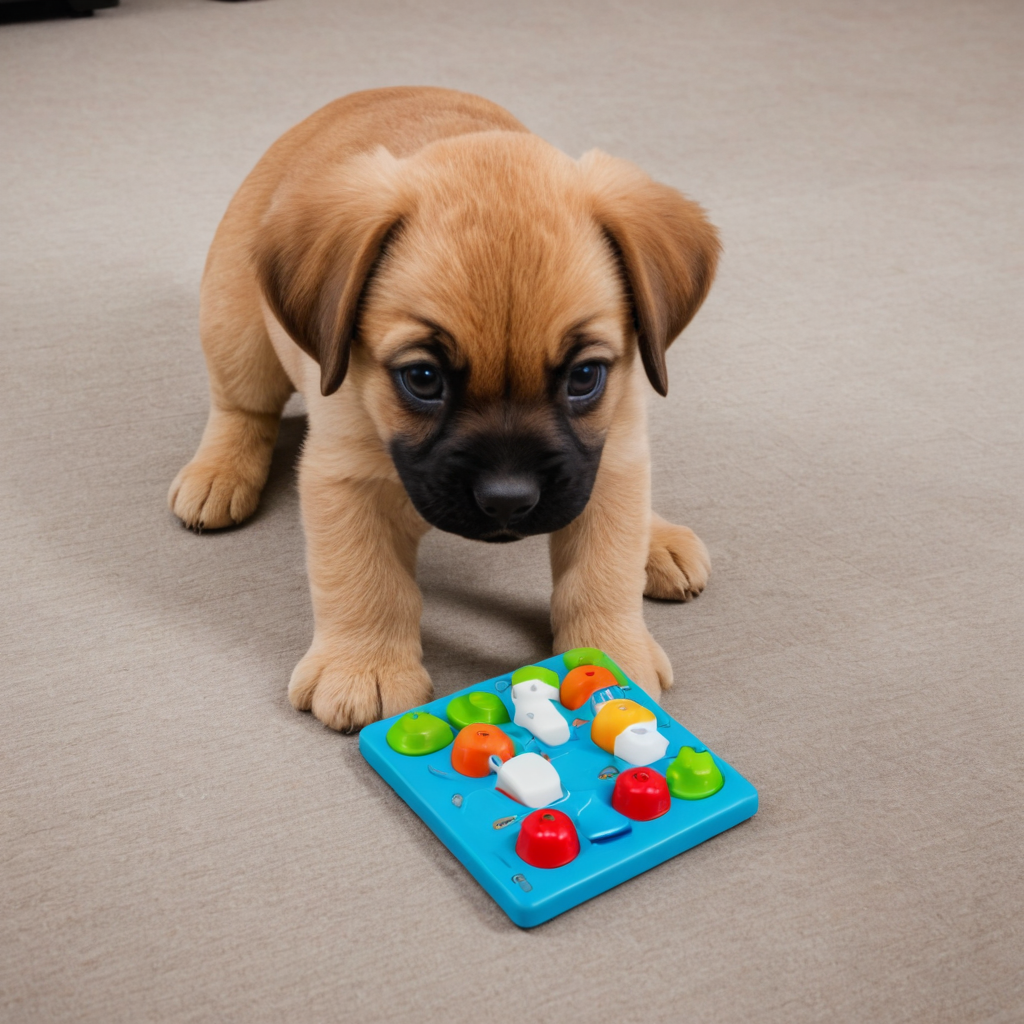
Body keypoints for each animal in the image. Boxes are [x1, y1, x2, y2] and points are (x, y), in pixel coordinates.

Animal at [167, 86, 716, 729]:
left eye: (584, 377)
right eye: (423, 379)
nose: (508, 500)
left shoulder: (613, 457)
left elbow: (602, 572)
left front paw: (611, 656)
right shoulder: (345, 476)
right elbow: (364, 579)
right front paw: (365, 666)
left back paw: (659, 539)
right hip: (238, 334)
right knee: (239, 411)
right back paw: (220, 471)